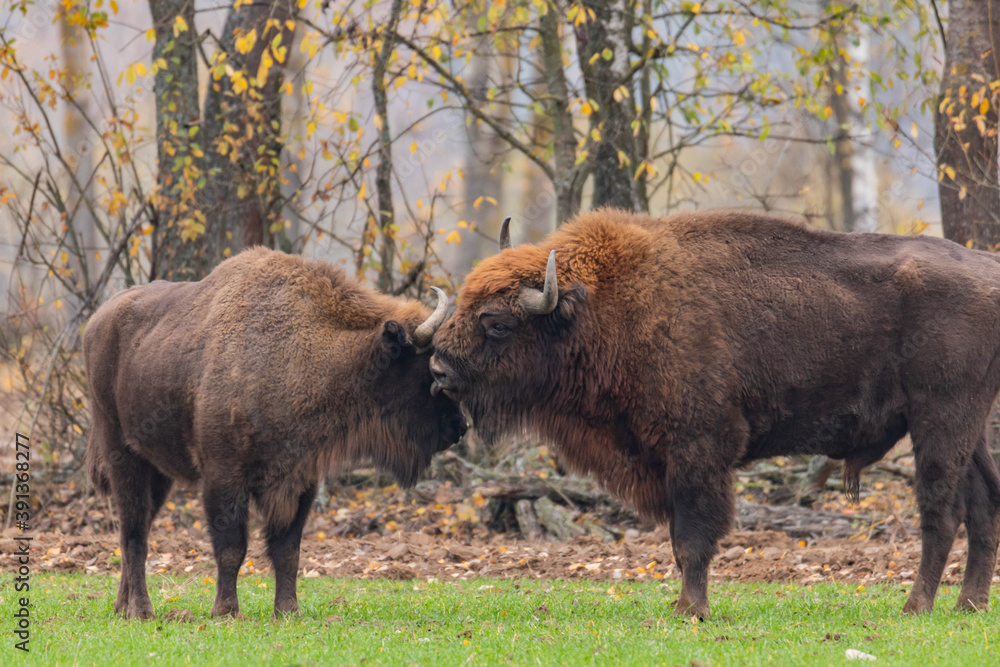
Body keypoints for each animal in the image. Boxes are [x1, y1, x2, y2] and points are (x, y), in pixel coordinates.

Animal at [86, 248, 464, 620]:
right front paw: (226, 611)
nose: (460, 427)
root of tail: (97, 321)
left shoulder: (301, 480)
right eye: (431, 370)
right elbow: (232, 546)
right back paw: (141, 611)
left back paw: (122, 606)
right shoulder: (224, 476)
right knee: (134, 533)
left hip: (158, 471)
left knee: (136, 529)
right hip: (123, 457)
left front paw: (287, 611)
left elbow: (288, 550)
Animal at [430, 210, 1000, 620]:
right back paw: (969, 605)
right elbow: (681, 540)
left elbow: (693, 537)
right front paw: (684, 606)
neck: (605, 307)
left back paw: (916, 607)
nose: (437, 367)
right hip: (968, 427)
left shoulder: (697, 452)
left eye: (497, 322)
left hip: (941, 418)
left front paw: (692, 611)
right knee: (984, 503)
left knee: (941, 510)